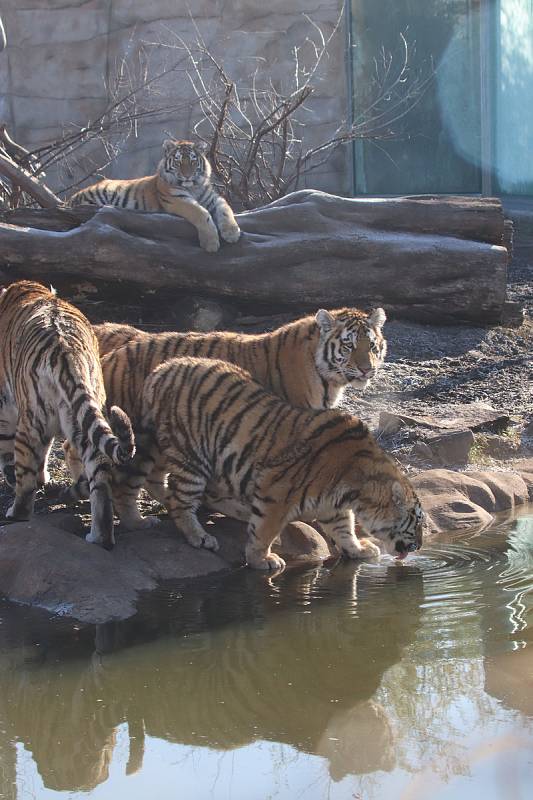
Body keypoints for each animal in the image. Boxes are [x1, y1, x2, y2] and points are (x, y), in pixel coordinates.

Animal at [0, 282, 135, 552]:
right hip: (85, 417)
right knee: (100, 482)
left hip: (31, 420)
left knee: (26, 477)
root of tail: (66, 350)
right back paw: (100, 538)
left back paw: (16, 513)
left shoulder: (5, 405)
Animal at [67, 136, 240, 252]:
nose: (187, 176)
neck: (194, 187)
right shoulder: (177, 199)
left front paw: (232, 232)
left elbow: (226, 208)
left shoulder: (213, 198)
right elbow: (201, 213)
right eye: (178, 161)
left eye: (192, 161)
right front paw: (210, 243)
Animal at [137, 356, 424, 568]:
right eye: (417, 522)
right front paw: (261, 559)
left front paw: (359, 549)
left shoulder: (333, 507)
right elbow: (265, 530)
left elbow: (345, 529)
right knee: (179, 499)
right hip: (193, 454)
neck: (356, 489)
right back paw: (200, 537)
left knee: (164, 481)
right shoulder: (276, 491)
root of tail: (161, 370)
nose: (420, 546)